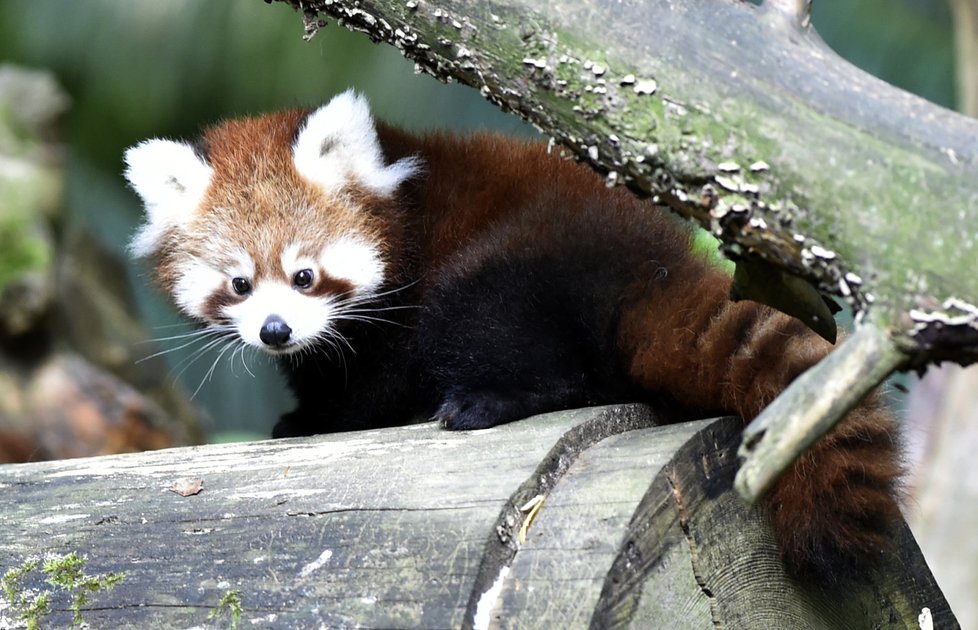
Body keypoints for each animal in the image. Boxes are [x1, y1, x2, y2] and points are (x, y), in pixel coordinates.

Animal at [126, 89, 896, 584]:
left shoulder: (405, 306)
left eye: (305, 275)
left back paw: (483, 402)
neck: (402, 215)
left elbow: (379, 380)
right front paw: (302, 408)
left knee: (531, 352)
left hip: (506, 273)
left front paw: (321, 422)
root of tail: (648, 263)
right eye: (240, 284)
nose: (276, 331)